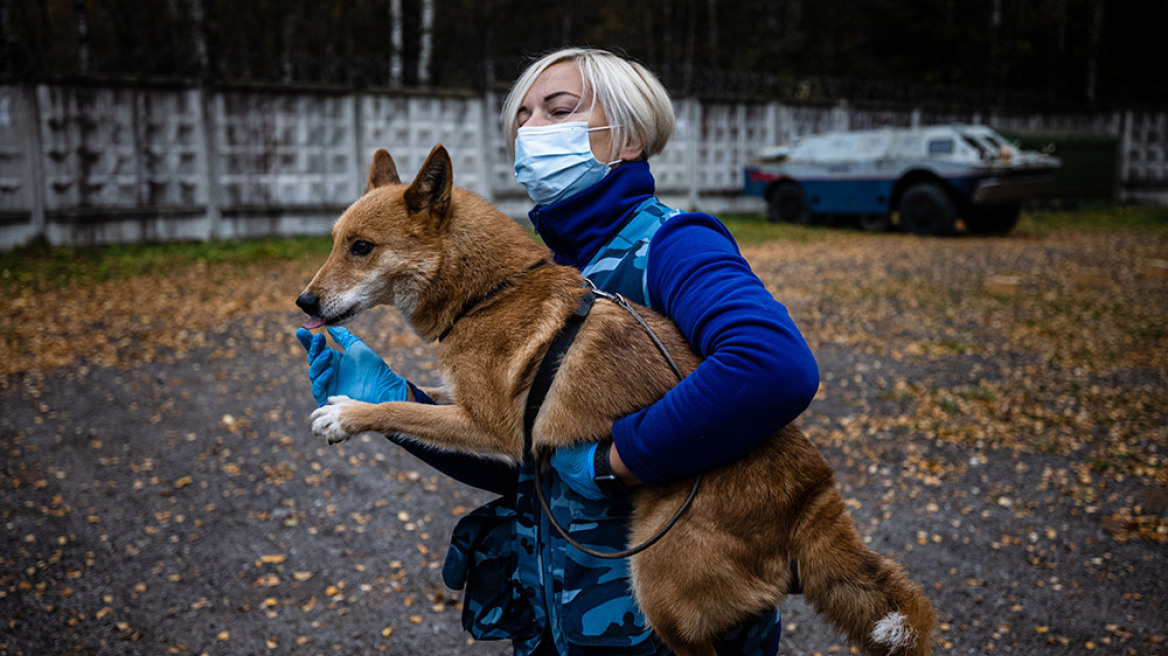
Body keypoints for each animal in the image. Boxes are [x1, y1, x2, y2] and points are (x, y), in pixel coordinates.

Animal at [296, 145, 934, 653]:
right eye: (334, 243)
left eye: (361, 247)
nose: (304, 302)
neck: (491, 292)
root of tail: (811, 498)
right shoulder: (479, 421)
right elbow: (412, 400)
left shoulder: (495, 429)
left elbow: (400, 410)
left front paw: (348, 414)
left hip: (658, 589)